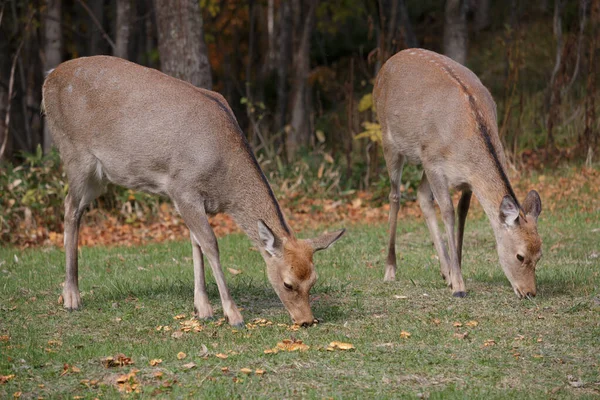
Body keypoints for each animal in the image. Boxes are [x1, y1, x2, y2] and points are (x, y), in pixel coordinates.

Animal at [42, 54, 344, 326]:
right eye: (288, 283)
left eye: (314, 280)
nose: (306, 320)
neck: (223, 184)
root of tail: (48, 78)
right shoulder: (182, 187)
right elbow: (211, 244)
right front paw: (232, 314)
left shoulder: (195, 200)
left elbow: (196, 243)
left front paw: (203, 308)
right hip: (75, 155)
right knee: (70, 208)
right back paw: (71, 297)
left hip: (99, 175)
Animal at [372, 48, 540, 298]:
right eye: (520, 256)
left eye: (539, 255)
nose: (529, 292)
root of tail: (386, 64)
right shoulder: (434, 164)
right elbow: (449, 213)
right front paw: (459, 286)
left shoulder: (466, 179)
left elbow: (462, 214)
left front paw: (455, 273)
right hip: (390, 140)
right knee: (395, 196)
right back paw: (390, 269)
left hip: (423, 160)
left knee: (422, 195)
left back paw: (445, 271)